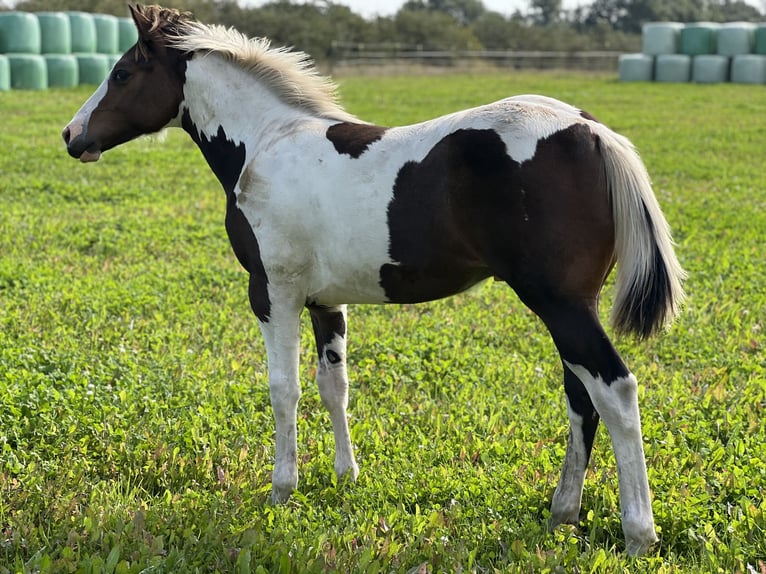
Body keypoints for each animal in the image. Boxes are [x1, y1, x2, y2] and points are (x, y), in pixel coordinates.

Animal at [63, 2, 688, 556]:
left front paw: (282, 490)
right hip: (570, 307)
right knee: (582, 395)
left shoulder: (273, 293)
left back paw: (638, 534)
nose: (72, 136)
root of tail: (590, 130)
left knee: (615, 390)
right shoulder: (325, 301)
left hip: (559, 303)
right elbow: (333, 385)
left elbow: (284, 389)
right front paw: (346, 476)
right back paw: (562, 514)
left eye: (121, 73)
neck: (264, 144)